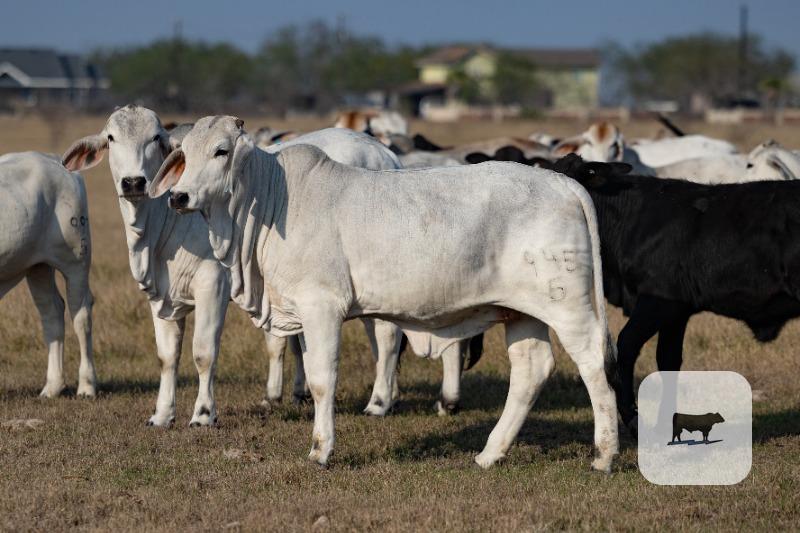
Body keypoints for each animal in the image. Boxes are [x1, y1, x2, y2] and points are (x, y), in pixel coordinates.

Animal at [0, 152, 95, 398]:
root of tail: (57, 160)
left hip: (76, 261)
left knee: (81, 317)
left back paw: (87, 386)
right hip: (38, 267)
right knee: (52, 313)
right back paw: (53, 386)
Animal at [148, 115, 619, 472]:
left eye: (221, 151)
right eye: (185, 154)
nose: (178, 196)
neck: (272, 199)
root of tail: (561, 182)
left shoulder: (322, 307)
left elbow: (323, 380)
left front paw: (321, 450)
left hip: (568, 305)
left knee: (593, 363)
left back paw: (604, 455)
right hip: (521, 311)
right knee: (530, 370)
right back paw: (490, 453)